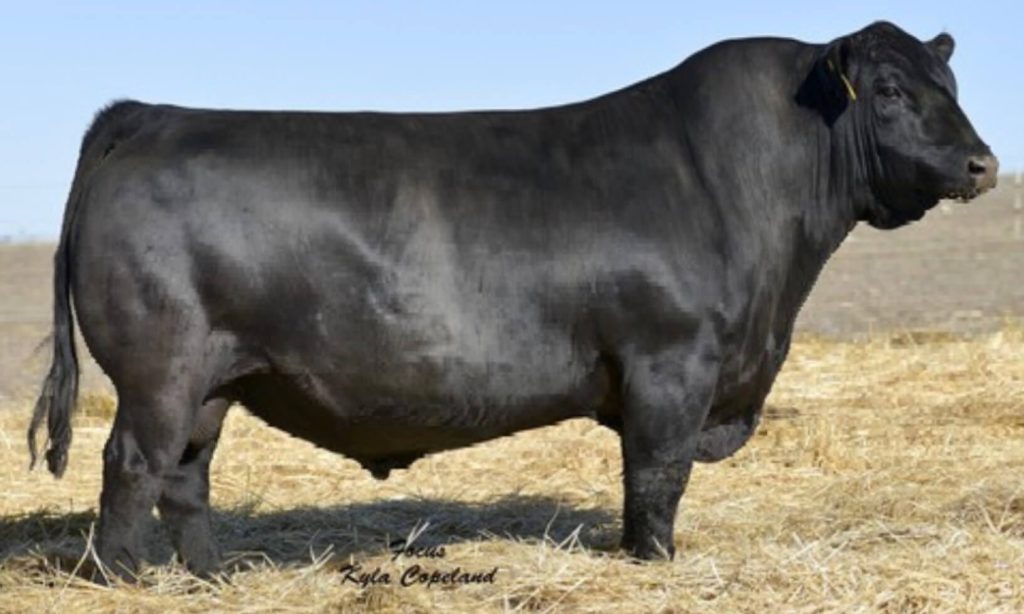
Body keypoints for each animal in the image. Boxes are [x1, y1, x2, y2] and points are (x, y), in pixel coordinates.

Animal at [29, 21, 997, 578]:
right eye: (889, 90)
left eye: (949, 86)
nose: (983, 163)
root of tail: (150, 113)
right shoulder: (671, 365)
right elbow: (657, 478)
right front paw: (653, 562)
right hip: (159, 370)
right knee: (132, 466)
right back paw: (122, 578)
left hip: (217, 379)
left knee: (187, 477)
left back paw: (209, 576)